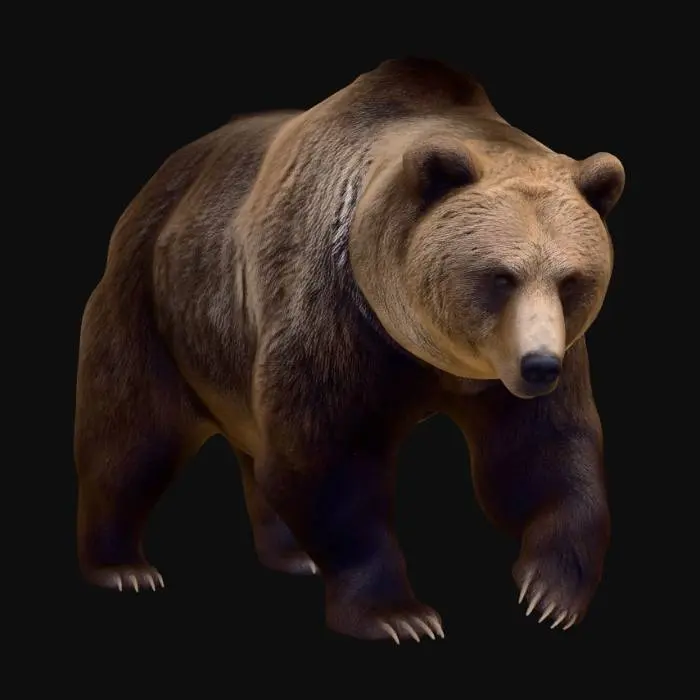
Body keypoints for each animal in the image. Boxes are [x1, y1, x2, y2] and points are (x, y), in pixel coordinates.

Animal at [74, 57, 625, 643]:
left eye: (571, 280)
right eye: (500, 276)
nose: (539, 365)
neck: (423, 352)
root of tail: (161, 179)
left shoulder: (530, 363)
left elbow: (539, 452)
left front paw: (550, 592)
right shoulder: (337, 317)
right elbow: (327, 457)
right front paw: (399, 615)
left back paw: (292, 555)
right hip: (155, 301)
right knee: (134, 432)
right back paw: (123, 566)